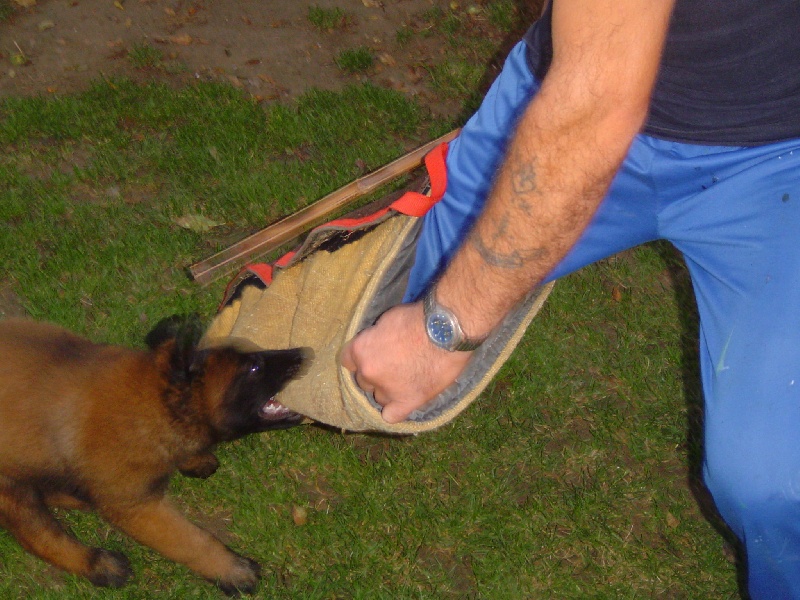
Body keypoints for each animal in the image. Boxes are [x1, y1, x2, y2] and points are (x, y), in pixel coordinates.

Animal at [0, 316, 310, 592]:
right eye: (255, 367)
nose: (305, 352)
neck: (154, 402)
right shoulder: (137, 506)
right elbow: (192, 541)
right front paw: (230, 570)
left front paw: (195, 459)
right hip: (11, 488)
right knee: (37, 534)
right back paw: (97, 564)